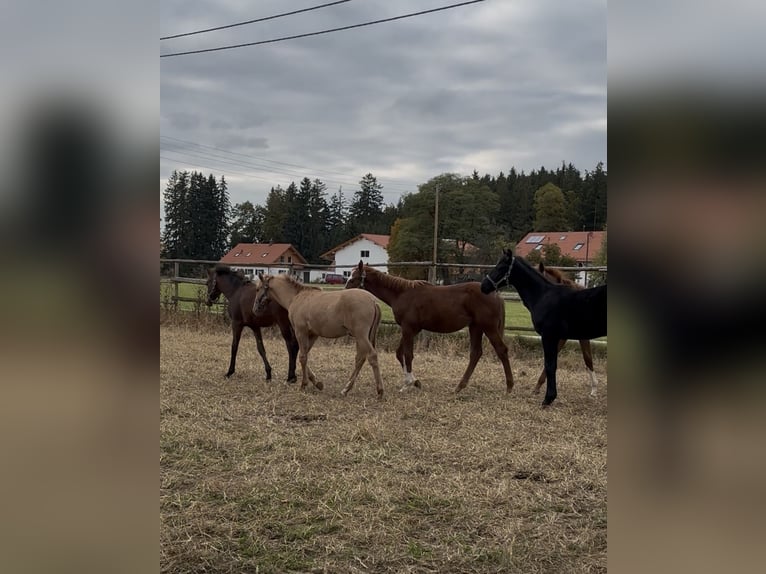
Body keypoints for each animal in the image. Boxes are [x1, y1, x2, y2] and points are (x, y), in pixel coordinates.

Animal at [254, 273, 385, 398]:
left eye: (258, 288)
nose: (255, 308)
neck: (296, 297)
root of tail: (373, 301)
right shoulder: (313, 334)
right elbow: (304, 355)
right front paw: (317, 383)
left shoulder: (301, 332)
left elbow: (302, 357)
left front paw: (303, 384)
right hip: (361, 337)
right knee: (360, 359)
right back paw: (346, 389)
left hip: (361, 335)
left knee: (372, 356)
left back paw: (380, 391)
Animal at [345, 261, 513, 393]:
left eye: (353, 279)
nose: (345, 294)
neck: (402, 294)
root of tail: (496, 294)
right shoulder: (411, 330)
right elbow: (400, 354)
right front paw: (415, 382)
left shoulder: (408, 329)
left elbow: (408, 355)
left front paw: (408, 384)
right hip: (475, 327)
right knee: (476, 353)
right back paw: (459, 387)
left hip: (488, 327)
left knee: (501, 350)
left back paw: (509, 387)